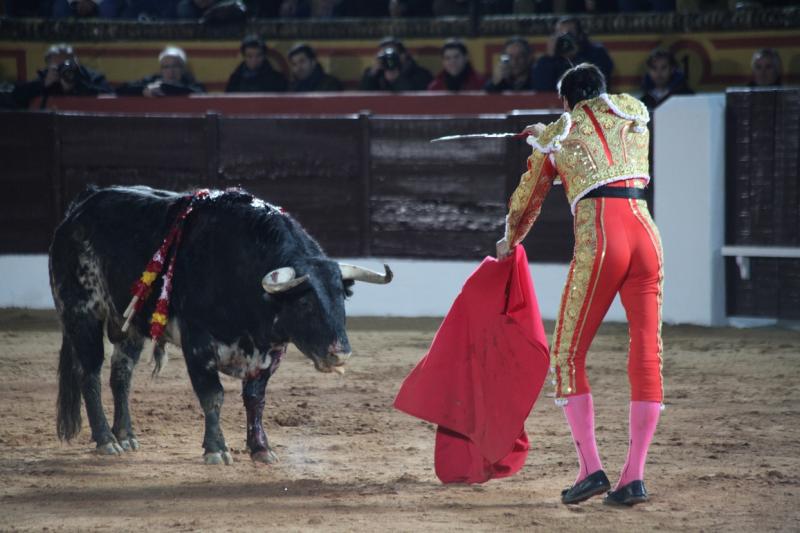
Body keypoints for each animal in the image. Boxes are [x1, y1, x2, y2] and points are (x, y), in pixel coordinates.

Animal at [48, 185, 392, 464]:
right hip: (81, 313)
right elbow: (213, 395)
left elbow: (255, 399)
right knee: (89, 374)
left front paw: (261, 449)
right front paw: (216, 449)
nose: (340, 353)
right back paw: (106, 440)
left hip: (129, 325)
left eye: (342, 298)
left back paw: (126, 435)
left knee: (121, 375)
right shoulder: (198, 343)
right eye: (305, 303)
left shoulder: (270, 353)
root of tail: (81, 206)